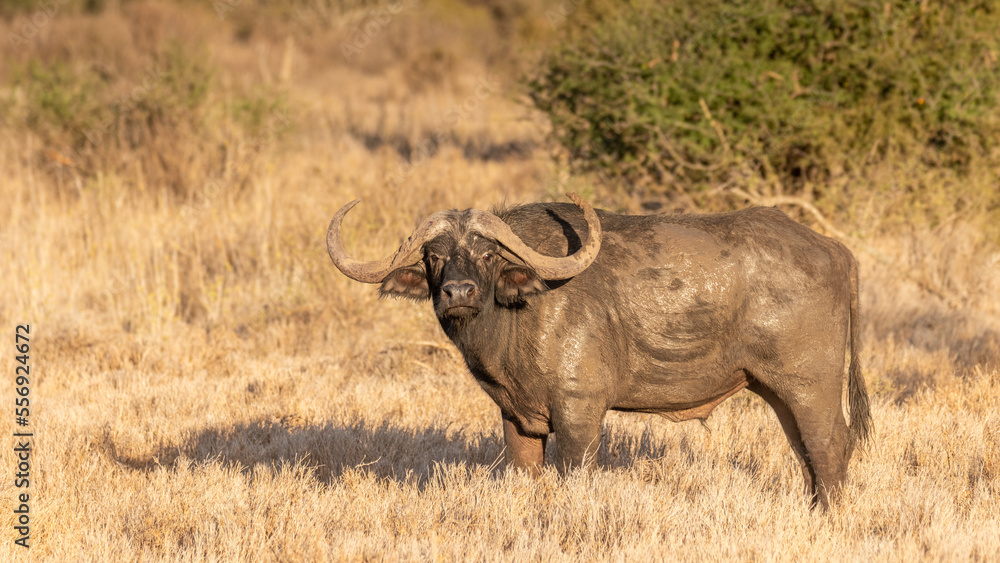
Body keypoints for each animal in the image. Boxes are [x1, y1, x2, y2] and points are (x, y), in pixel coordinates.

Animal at [327, 193, 871, 508]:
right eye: (434, 255)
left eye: (487, 253)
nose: (457, 292)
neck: (519, 313)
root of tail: (834, 249)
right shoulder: (516, 418)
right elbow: (525, 474)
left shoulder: (580, 415)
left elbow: (573, 476)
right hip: (779, 393)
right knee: (807, 452)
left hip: (810, 386)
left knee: (830, 444)